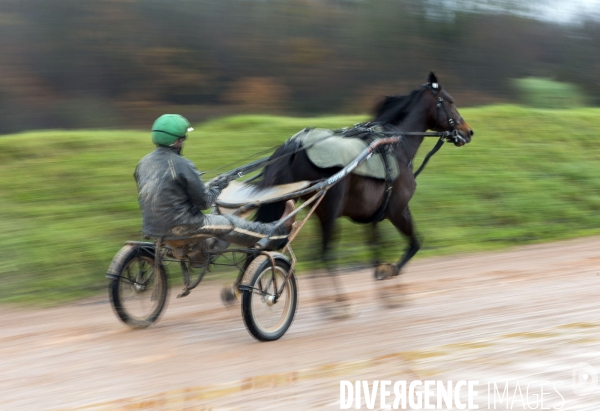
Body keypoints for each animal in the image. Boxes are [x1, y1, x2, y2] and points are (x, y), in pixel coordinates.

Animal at [253, 71, 474, 286]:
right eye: (450, 101)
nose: (468, 131)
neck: (395, 143)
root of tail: (296, 144)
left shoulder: (374, 215)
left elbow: (376, 249)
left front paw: (381, 274)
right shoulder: (398, 209)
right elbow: (415, 243)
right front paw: (390, 270)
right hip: (330, 210)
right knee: (324, 257)